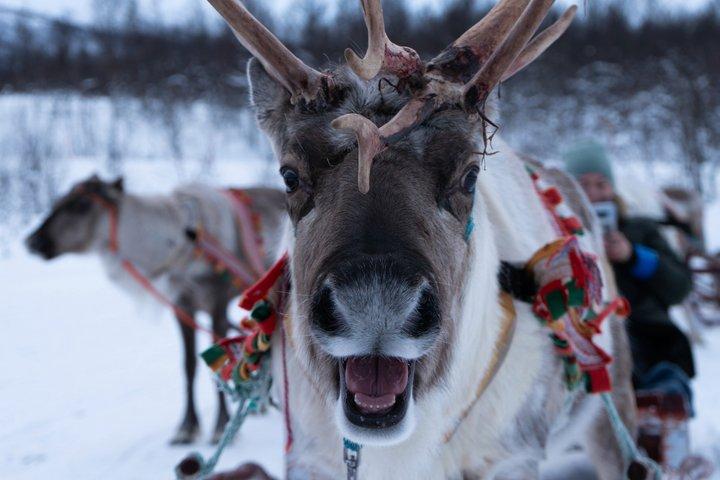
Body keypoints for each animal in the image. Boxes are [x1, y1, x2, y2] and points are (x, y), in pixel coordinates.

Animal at [25, 175, 287, 445]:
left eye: (81, 205)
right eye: (59, 200)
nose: (32, 241)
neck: (180, 245)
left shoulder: (217, 302)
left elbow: (222, 365)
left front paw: (220, 427)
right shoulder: (182, 305)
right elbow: (189, 366)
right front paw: (187, 427)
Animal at [196, 0, 638, 478]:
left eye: (470, 175)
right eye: (290, 175)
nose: (375, 304)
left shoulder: (512, 457)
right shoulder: (309, 458)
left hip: (614, 413)